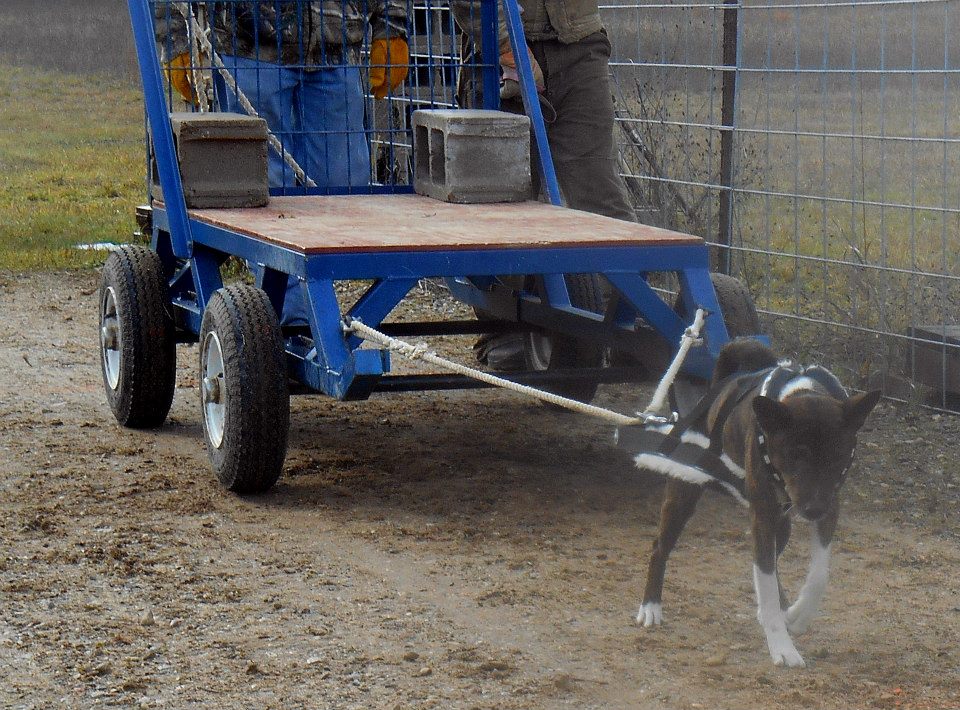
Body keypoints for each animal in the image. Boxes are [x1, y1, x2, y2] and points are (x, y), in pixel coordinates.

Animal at [632, 340, 876, 668]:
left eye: (838, 456)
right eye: (794, 454)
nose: (811, 509)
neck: (801, 391)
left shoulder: (829, 505)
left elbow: (818, 575)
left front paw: (798, 614)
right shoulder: (762, 513)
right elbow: (767, 581)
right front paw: (782, 646)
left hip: (781, 524)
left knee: (772, 561)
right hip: (684, 492)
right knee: (660, 547)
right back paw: (651, 606)